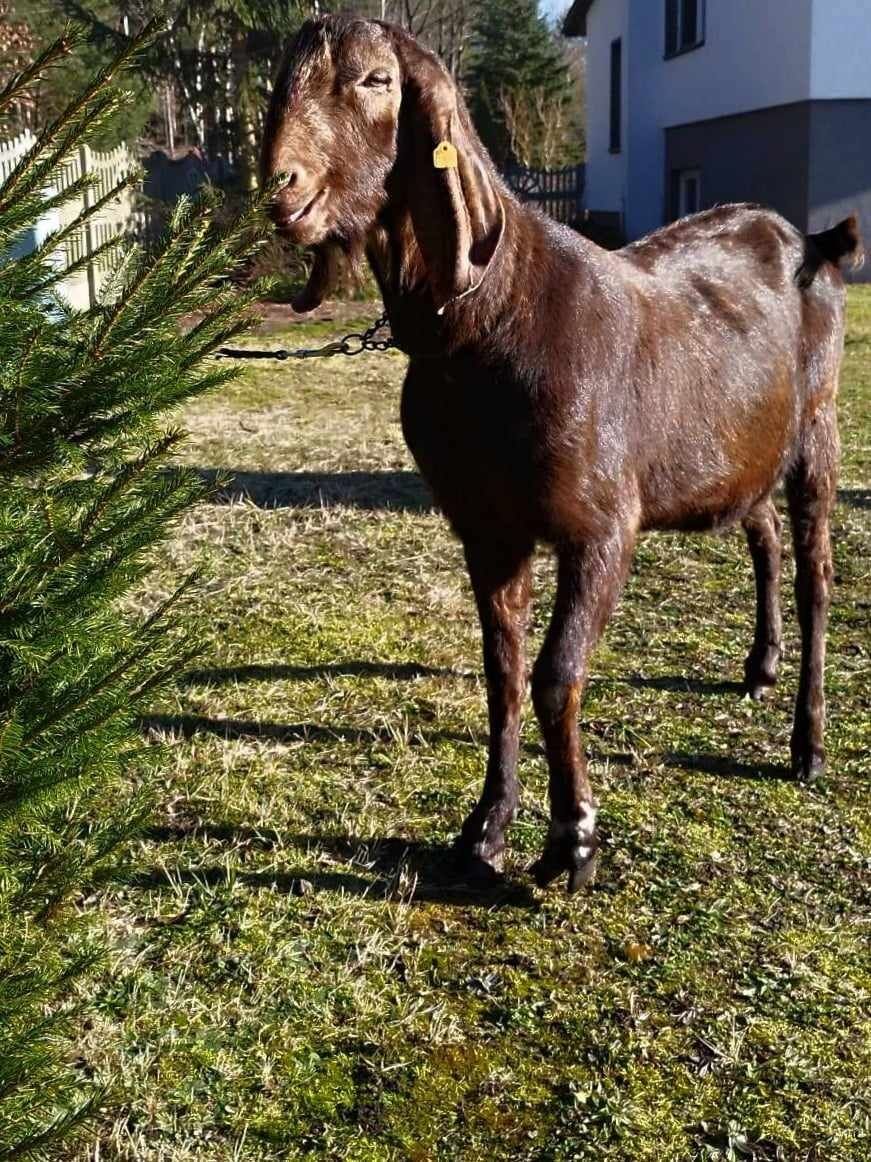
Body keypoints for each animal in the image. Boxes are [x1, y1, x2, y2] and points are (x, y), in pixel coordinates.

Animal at [262, 15, 864, 887]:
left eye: (376, 80)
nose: (281, 187)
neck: (491, 315)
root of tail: (807, 238)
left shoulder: (601, 527)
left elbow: (555, 674)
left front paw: (571, 840)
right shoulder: (486, 528)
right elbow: (503, 672)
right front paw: (484, 830)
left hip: (817, 428)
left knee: (816, 571)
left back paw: (806, 743)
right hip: (737, 448)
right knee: (762, 533)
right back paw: (760, 666)